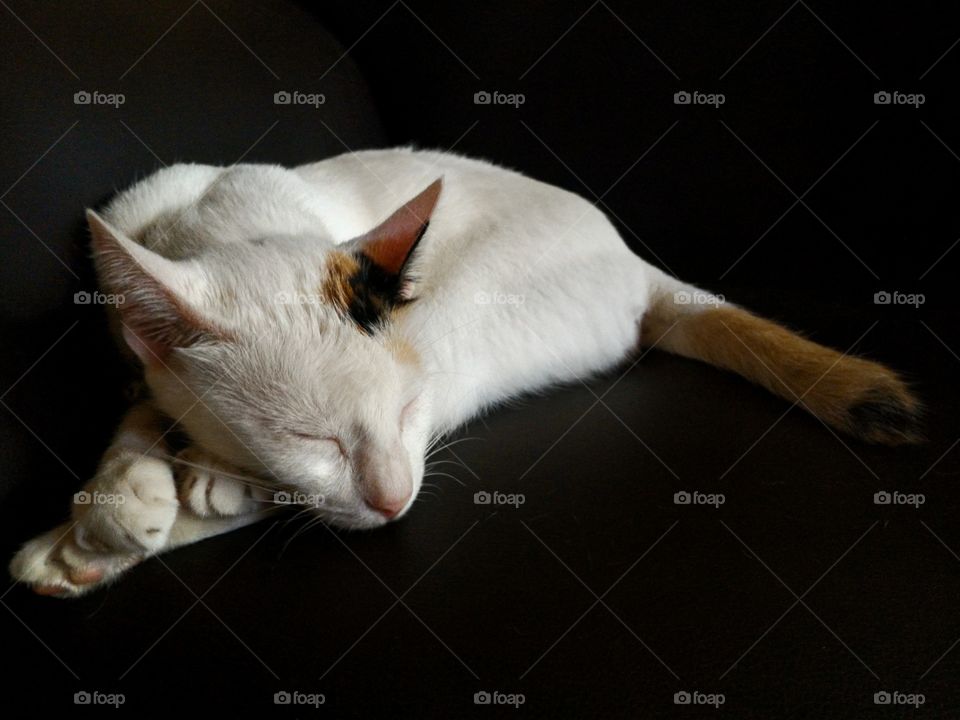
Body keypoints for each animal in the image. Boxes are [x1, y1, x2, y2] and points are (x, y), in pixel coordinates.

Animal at [9, 148, 924, 596]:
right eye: (308, 437)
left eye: (405, 410)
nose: (392, 503)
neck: (221, 216)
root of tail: (636, 263)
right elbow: (140, 400)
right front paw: (125, 483)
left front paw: (166, 493)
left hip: (469, 310)